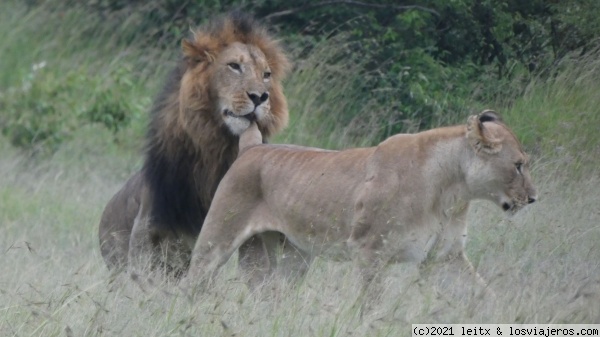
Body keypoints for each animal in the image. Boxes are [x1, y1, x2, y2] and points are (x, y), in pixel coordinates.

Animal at [99, 13, 290, 276]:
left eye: (266, 74)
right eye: (234, 66)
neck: (215, 151)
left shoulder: (250, 230)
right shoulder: (150, 229)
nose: (260, 97)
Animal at [185, 110, 536, 292]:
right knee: (194, 282)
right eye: (518, 165)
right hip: (216, 241)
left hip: (291, 258)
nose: (534, 198)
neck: (453, 192)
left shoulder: (446, 256)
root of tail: (253, 147)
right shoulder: (369, 250)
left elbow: (483, 293)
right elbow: (370, 304)